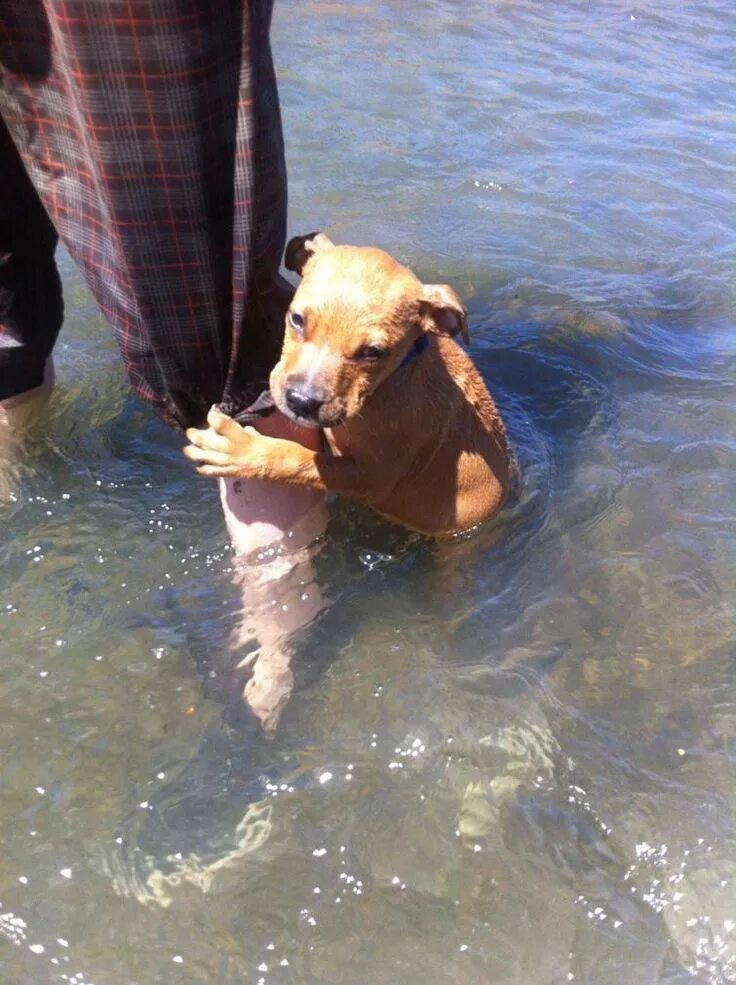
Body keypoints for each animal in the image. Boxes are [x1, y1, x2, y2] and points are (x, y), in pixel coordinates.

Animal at [185, 234, 512, 536]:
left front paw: (242, 451)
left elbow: (299, 460)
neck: (391, 379)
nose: (301, 400)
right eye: (296, 318)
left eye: (374, 352)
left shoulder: (373, 477)